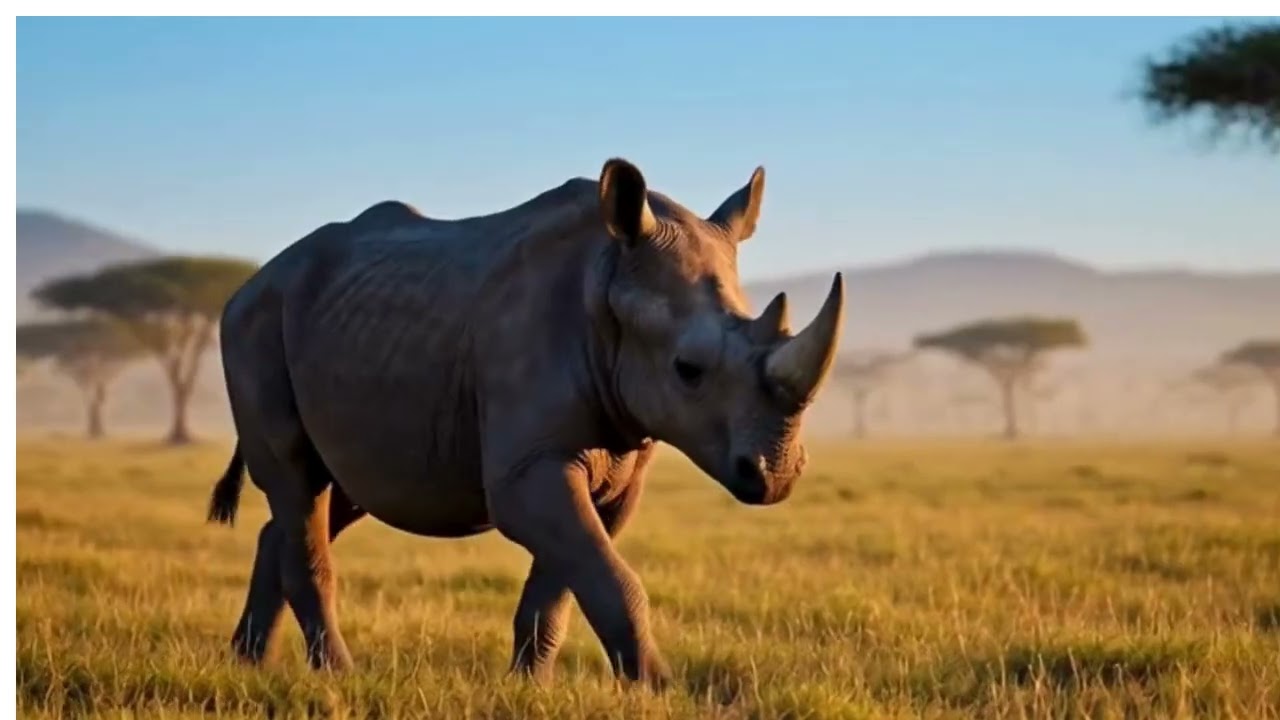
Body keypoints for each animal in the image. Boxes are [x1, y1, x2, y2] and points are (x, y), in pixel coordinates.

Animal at [206, 158, 845, 690]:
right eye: (688, 370)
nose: (775, 477)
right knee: (298, 483)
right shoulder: (526, 469)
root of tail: (247, 285)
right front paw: (661, 690)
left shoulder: (618, 464)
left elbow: (567, 580)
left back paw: (247, 663)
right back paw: (336, 674)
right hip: (253, 325)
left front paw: (528, 687)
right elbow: (609, 578)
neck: (609, 282)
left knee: (330, 496)